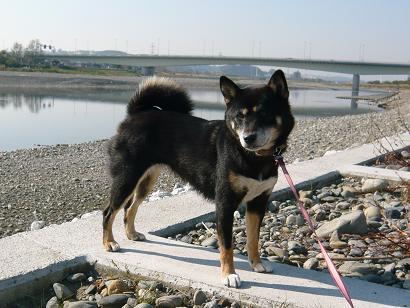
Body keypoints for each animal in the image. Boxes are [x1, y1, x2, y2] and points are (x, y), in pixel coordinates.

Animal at [104, 71, 294, 288]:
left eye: (264, 114)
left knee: (130, 208)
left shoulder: (258, 202)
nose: (248, 138)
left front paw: (257, 264)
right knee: (109, 212)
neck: (255, 157)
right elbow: (226, 246)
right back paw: (108, 242)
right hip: (127, 178)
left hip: (146, 181)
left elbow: (253, 239)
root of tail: (135, 114)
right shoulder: (225, 203)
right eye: (240, 116)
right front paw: (229, 275)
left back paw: (131, 234)